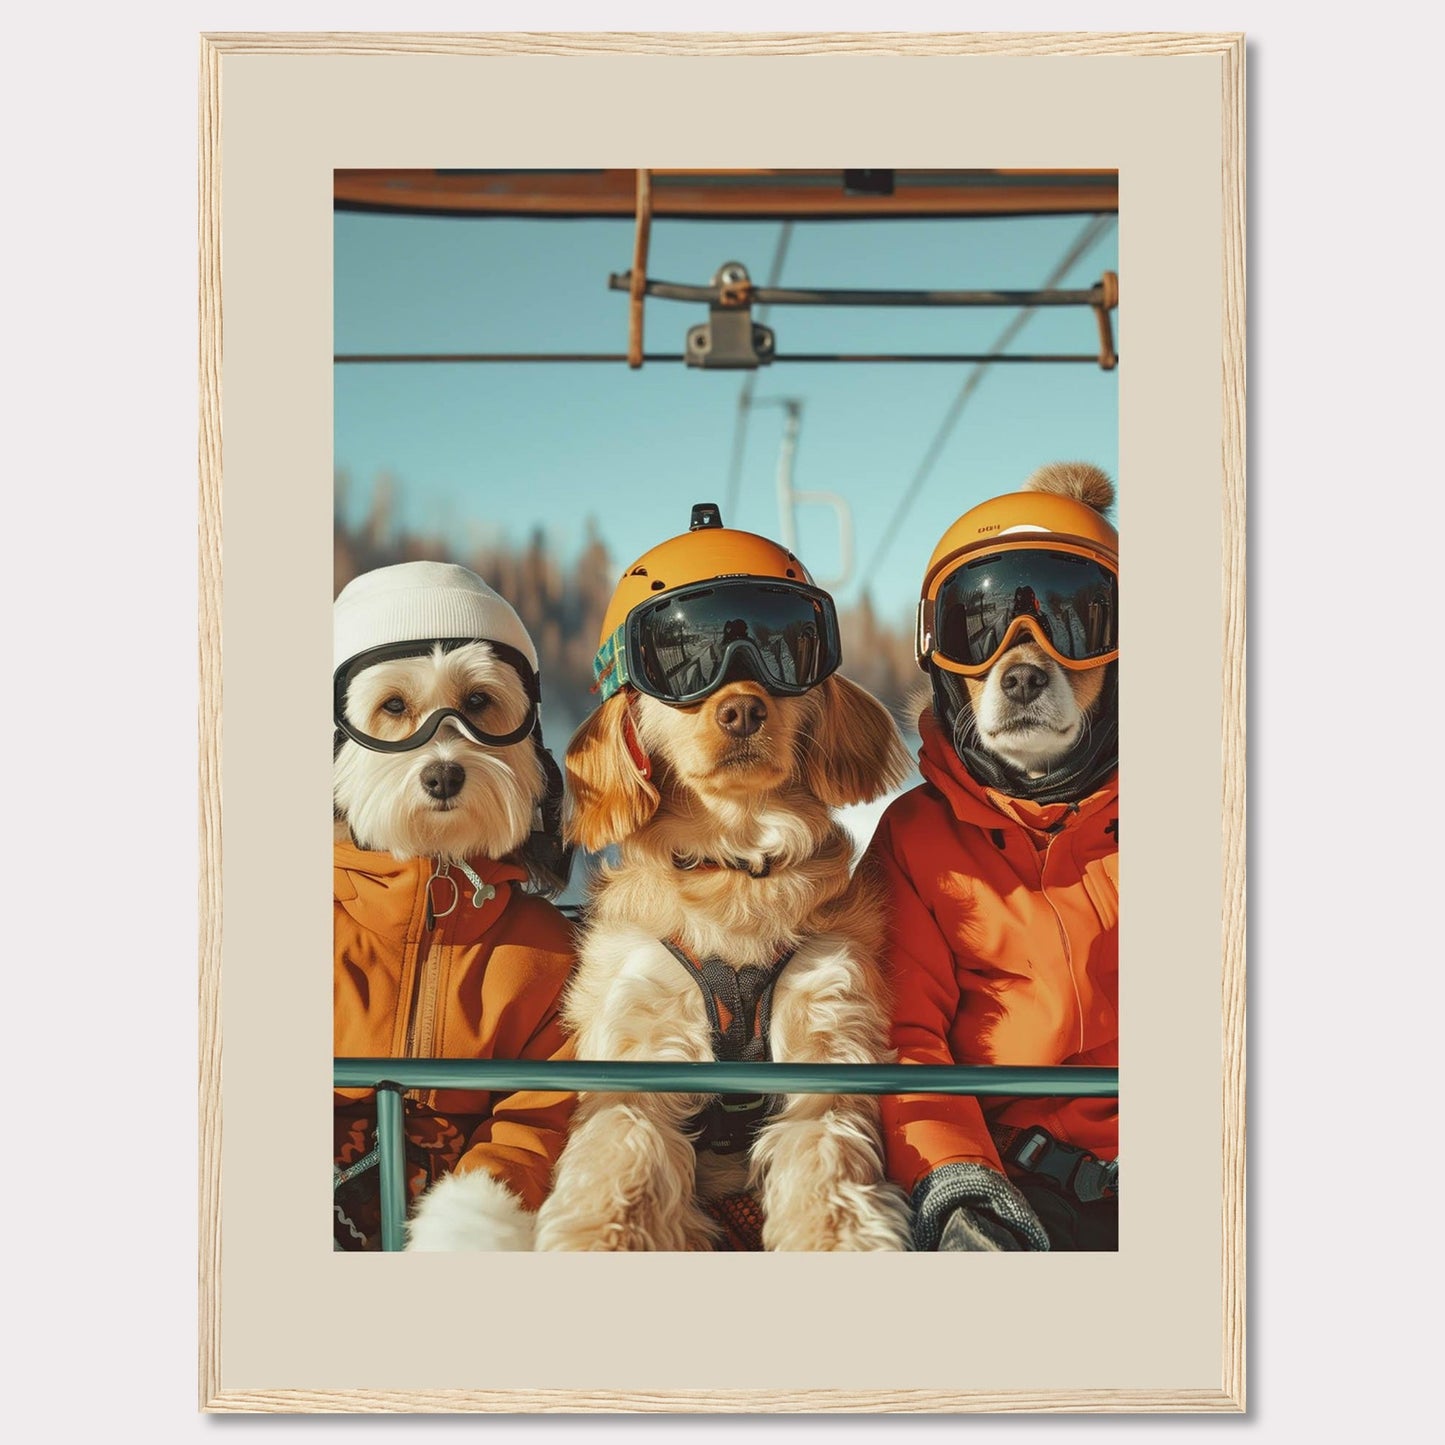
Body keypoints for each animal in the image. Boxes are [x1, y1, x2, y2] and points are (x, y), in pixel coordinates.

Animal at [531, 667, 913, 1254]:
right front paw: (600, 1240)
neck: (735, 863)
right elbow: (620, 1153)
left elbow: (827, 1162)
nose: (743, 711)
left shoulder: (827, 1026)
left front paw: (838, 1239)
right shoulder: (639, 1037)